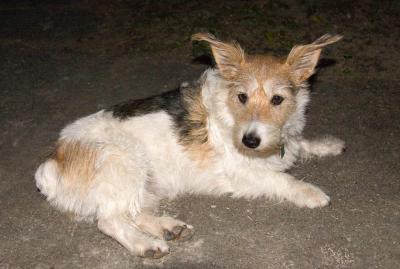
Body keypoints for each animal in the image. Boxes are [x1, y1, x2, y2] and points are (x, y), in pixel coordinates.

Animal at [36, 33, 346, 258]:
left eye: (278, 99)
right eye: (242, 97)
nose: (249, 140)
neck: (231, 112)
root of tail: (54, 160)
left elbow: (300, 144)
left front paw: (327, 146)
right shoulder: (240, 172)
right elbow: (282, 179)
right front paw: (310, 192)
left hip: (143, 181)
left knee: (131, 212)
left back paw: (168, 227)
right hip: (125, 160)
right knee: (109, 220)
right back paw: (145, 244)